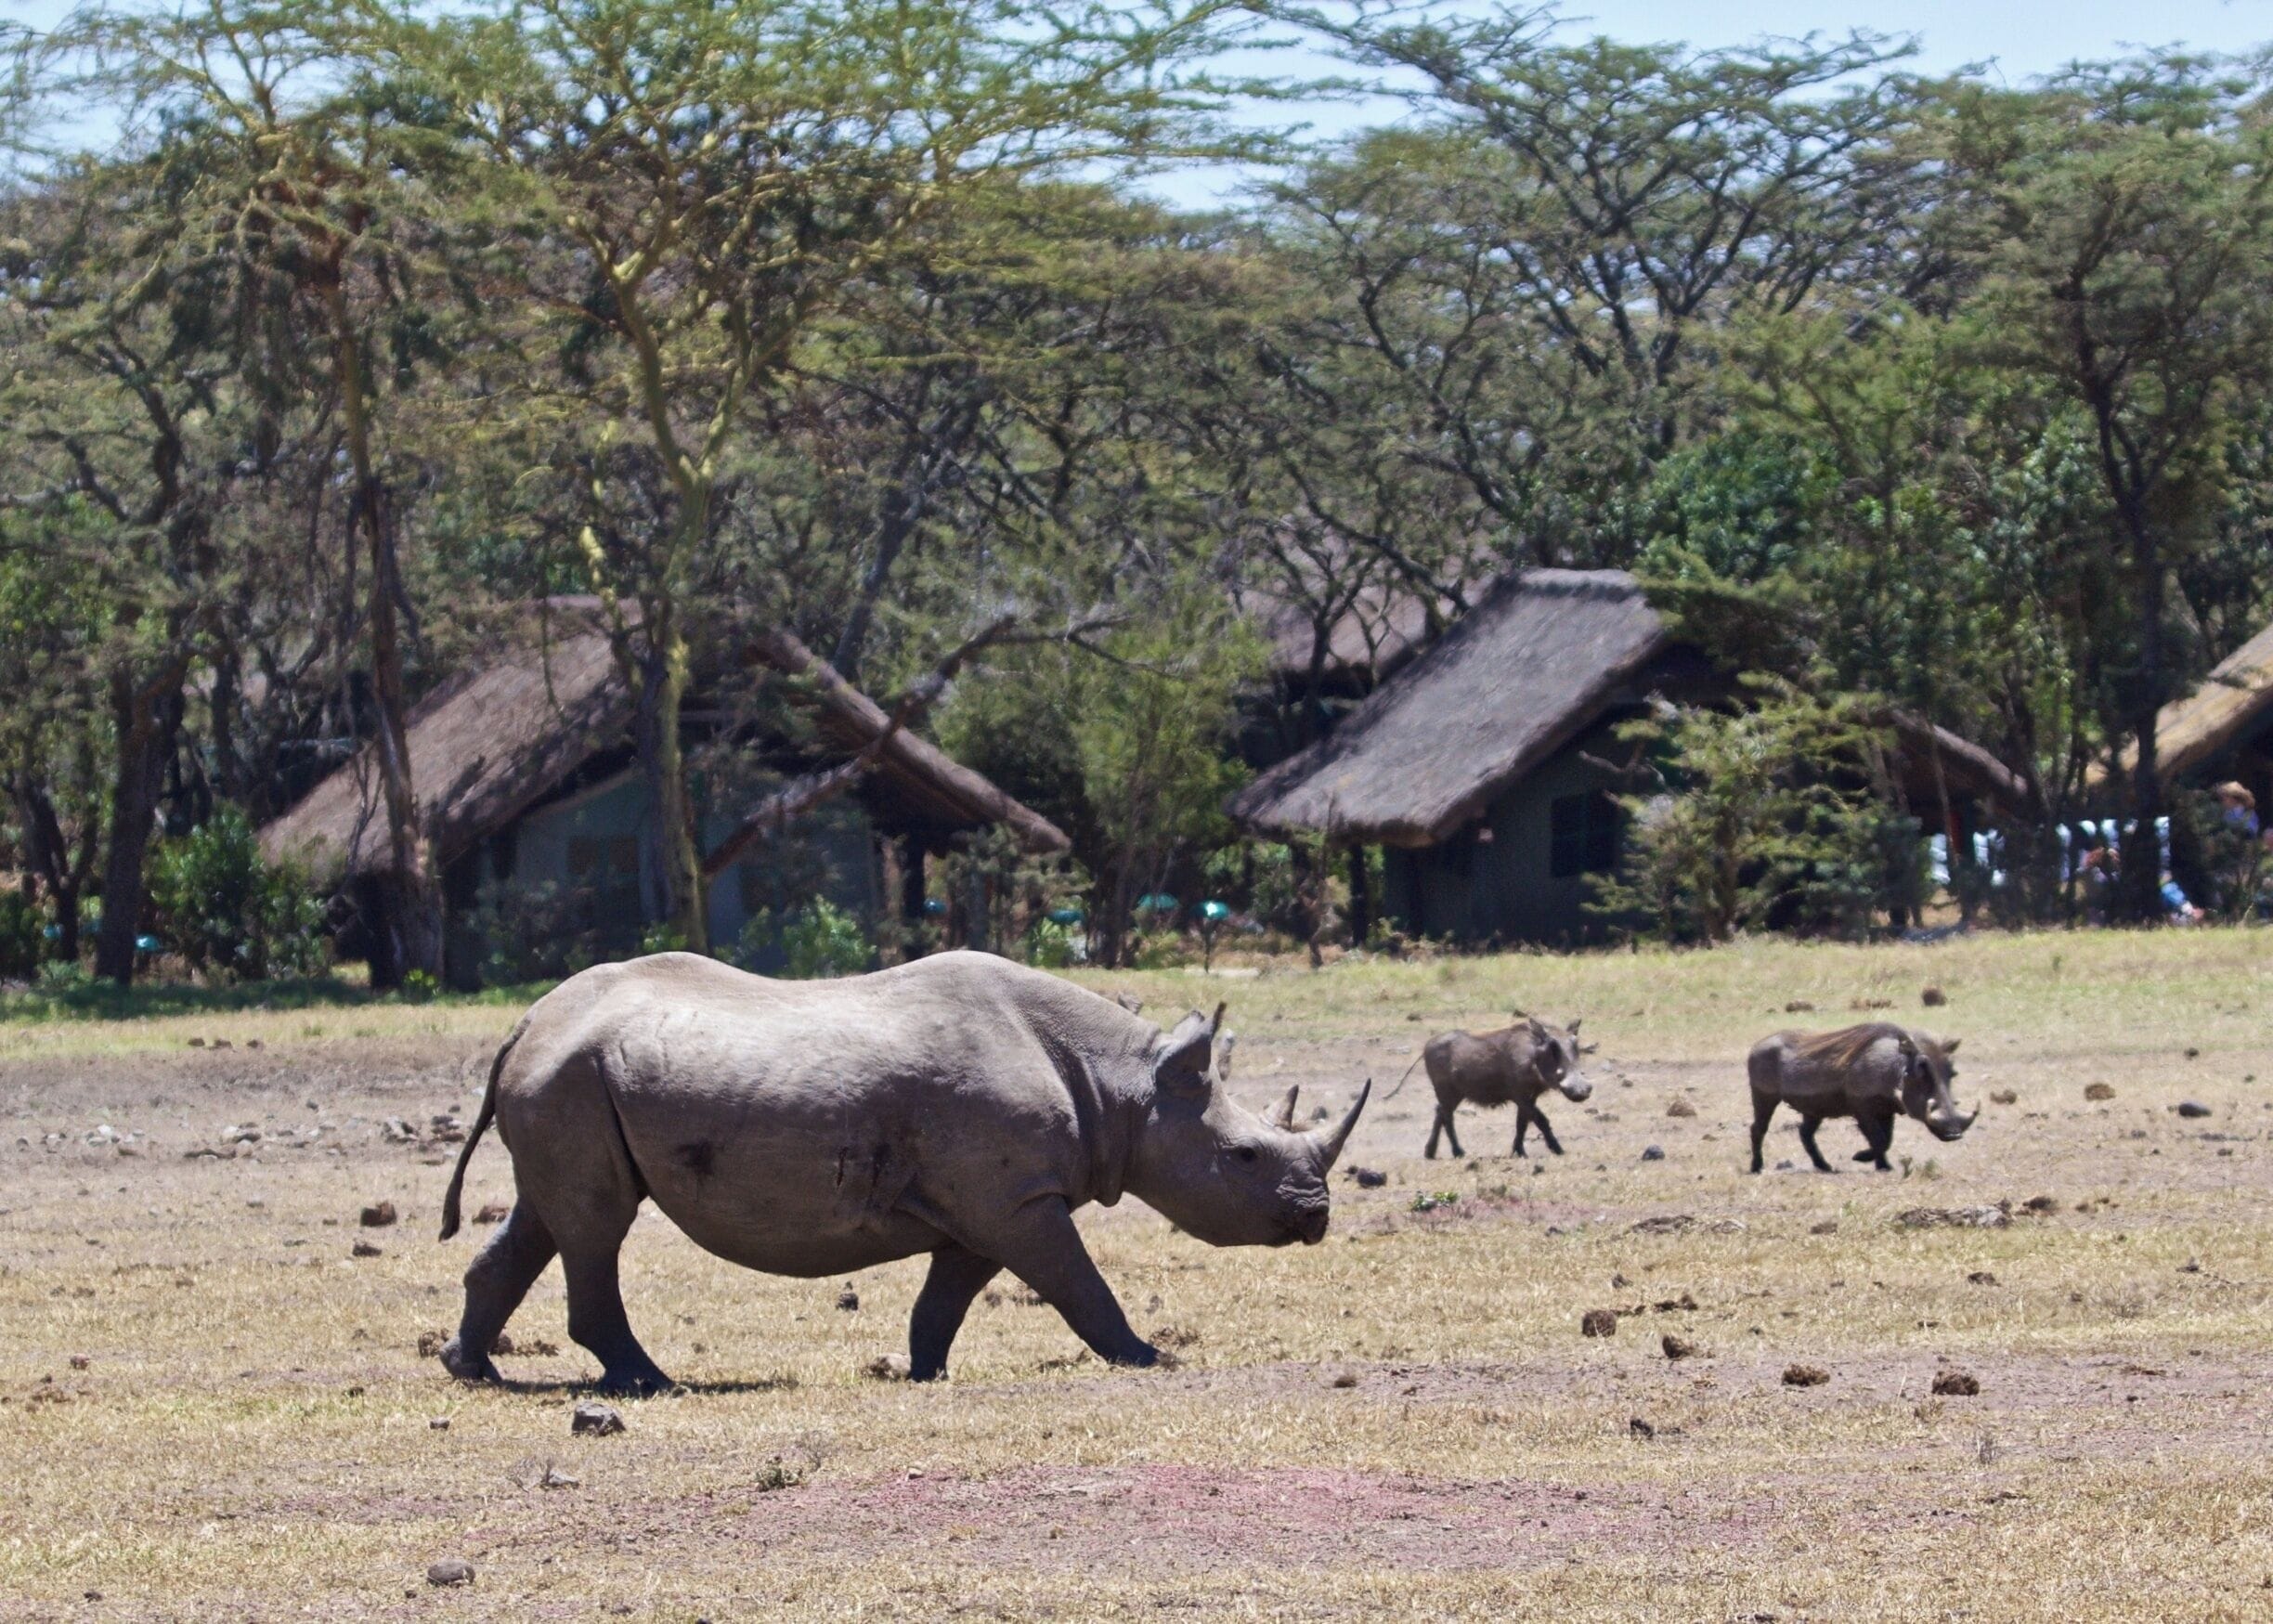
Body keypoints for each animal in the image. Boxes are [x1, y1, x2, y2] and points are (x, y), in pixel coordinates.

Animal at [434, 951, 1368, 1393]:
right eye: (1244, 1156)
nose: (1316, 1214)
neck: (1127, 1085)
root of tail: (523, 1023)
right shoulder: (1017, 1197)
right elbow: (1080, 1284)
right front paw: (1147, 1359)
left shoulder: (995, 1202)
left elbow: (946, 1297)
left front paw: (924, 1371)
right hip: (571, 1077)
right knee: (596, 1226)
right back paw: (650, 1383)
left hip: (568, 1078)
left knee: (548, 1217)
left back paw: (471, 1368)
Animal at [1416, 1014, 1594, 1159]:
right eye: (1552, 1046)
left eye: (1575, 1043)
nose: (1581, 1091)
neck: (1532, 1058)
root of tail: (1427, 1046)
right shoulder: (1520, 1096)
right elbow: (1541, 1120)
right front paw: (1559, 1150)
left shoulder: (1530, 1097)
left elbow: (1522, 1123)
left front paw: (1519, 1152)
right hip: (1446, 1091)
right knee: (1447, 1118)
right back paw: (1458, 1153)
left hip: (1453, 1095)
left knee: (1440, 1112)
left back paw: (1430, 1153)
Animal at [1747, 1023, 1975, 1174]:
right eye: (1920, 1071)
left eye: (1952, 1073)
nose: (1954, 1134)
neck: (1891, 1071)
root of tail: (1756, 1046)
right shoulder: (1862, 1109)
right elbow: (1879, 1139)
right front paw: (1862, 1158)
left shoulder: (1886, 1111)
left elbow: (1887, 1140)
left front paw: (1882, 1165)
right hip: (1763, 1096)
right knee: (1758, 1129)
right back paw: (1756, 1168)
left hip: (1814, 1109)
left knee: (1805, 1133)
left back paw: (1826, 1167)